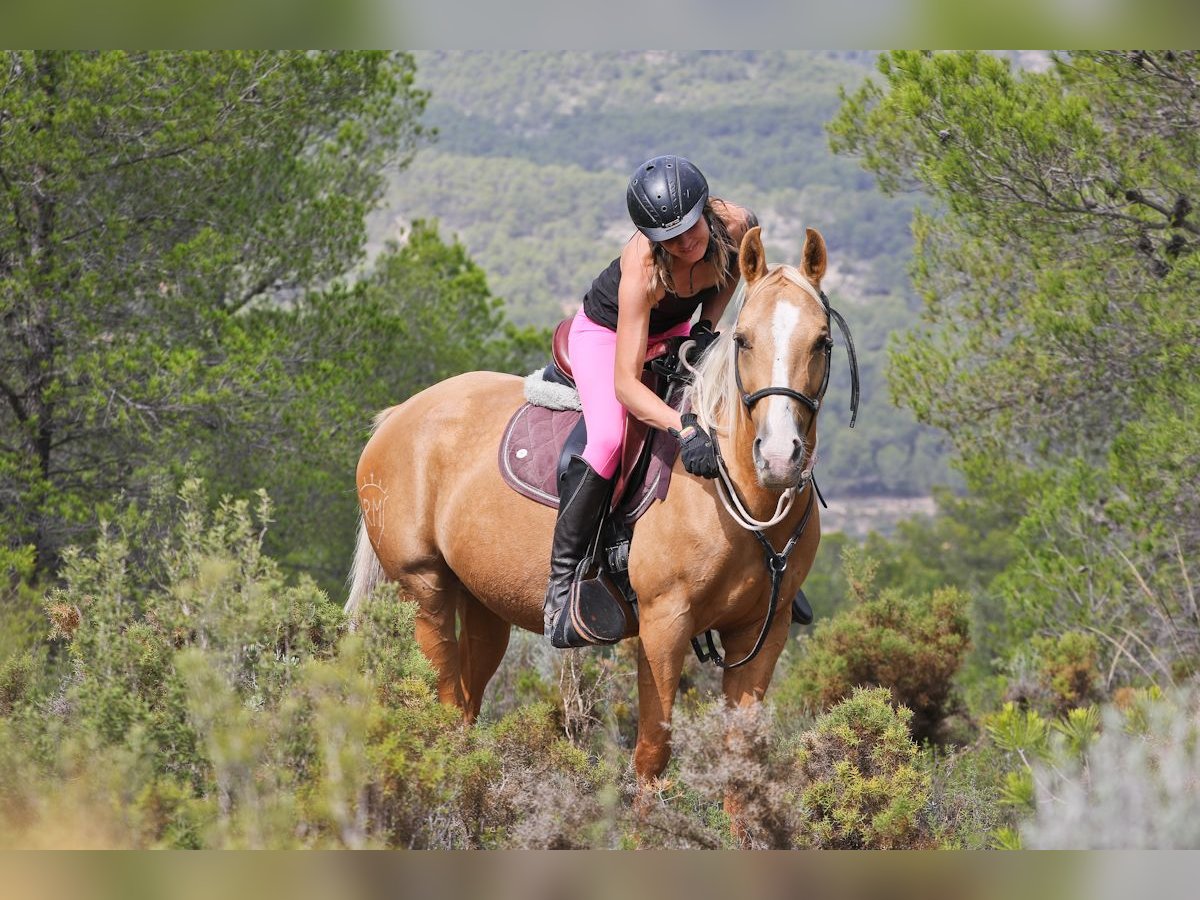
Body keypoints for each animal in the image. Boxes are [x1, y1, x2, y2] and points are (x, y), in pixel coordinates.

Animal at [348, 224, 849, 796]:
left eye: (822, 342)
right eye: (743, 340)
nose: (779, 457)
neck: (738, 495)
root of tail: (397, 416)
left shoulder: (764, 632)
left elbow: (742, 769)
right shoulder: (664, 624)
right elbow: (653, 754)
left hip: (482, 602)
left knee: (467, 709)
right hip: (424, 590)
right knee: (447, 708)